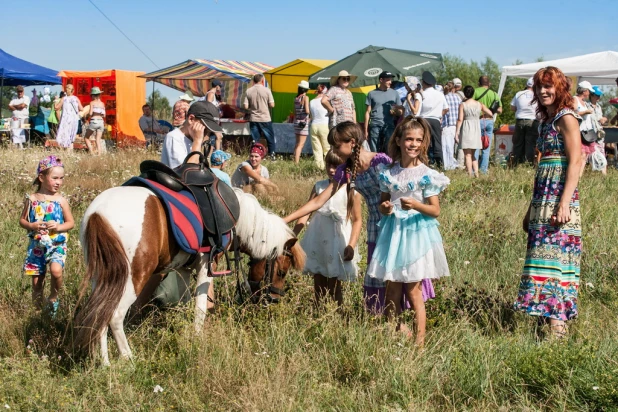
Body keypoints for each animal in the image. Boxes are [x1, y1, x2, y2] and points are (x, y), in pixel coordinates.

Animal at [73, 186, 304, 364]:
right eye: (282, 272)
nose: (274, 300)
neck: (235, 218)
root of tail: (99, 214)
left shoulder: (183, 268)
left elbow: (184, 304)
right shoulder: (207, 265)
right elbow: (200, 307)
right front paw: (197, 338)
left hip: (105, 279)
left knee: (100, 315)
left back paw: (105, 364)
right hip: (132, 279)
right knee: (115, 316)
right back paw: (128, 359)